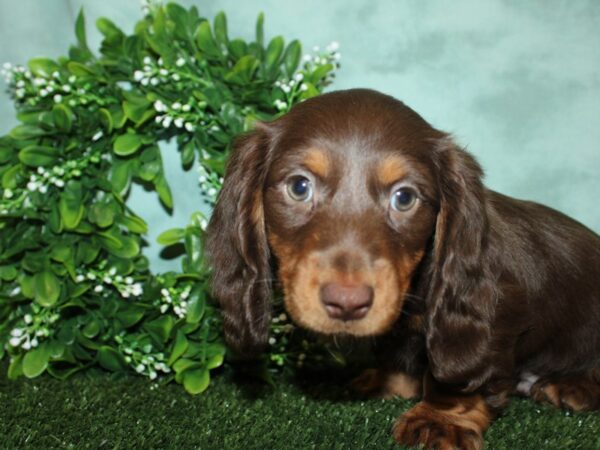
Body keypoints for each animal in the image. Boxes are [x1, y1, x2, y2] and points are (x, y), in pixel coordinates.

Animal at [207, 89, 600, 448]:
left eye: (405, 197)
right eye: (299, 186)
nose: (347, 303)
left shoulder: (487, 314)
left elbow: (458, 370)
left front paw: (441, 417)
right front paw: (386, 381)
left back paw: (570, 385)